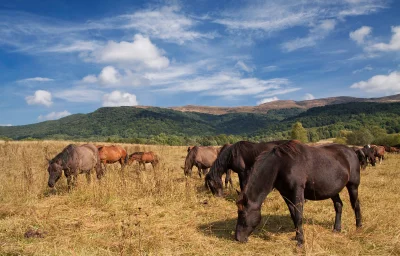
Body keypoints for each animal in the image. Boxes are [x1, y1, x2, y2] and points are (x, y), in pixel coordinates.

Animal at [234, 141, 362, 247]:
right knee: (338, 205)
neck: (280, 165)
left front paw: (301, 241)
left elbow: (299, 215)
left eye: (243, 215)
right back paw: (337, 229)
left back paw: (359, 227)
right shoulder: (286, 194)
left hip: (353, 186)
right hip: (332, 190)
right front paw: (296, 237)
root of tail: (351, 151)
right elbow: (293, 215)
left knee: (356, 205)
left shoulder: (297, 192)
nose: (237, 238)